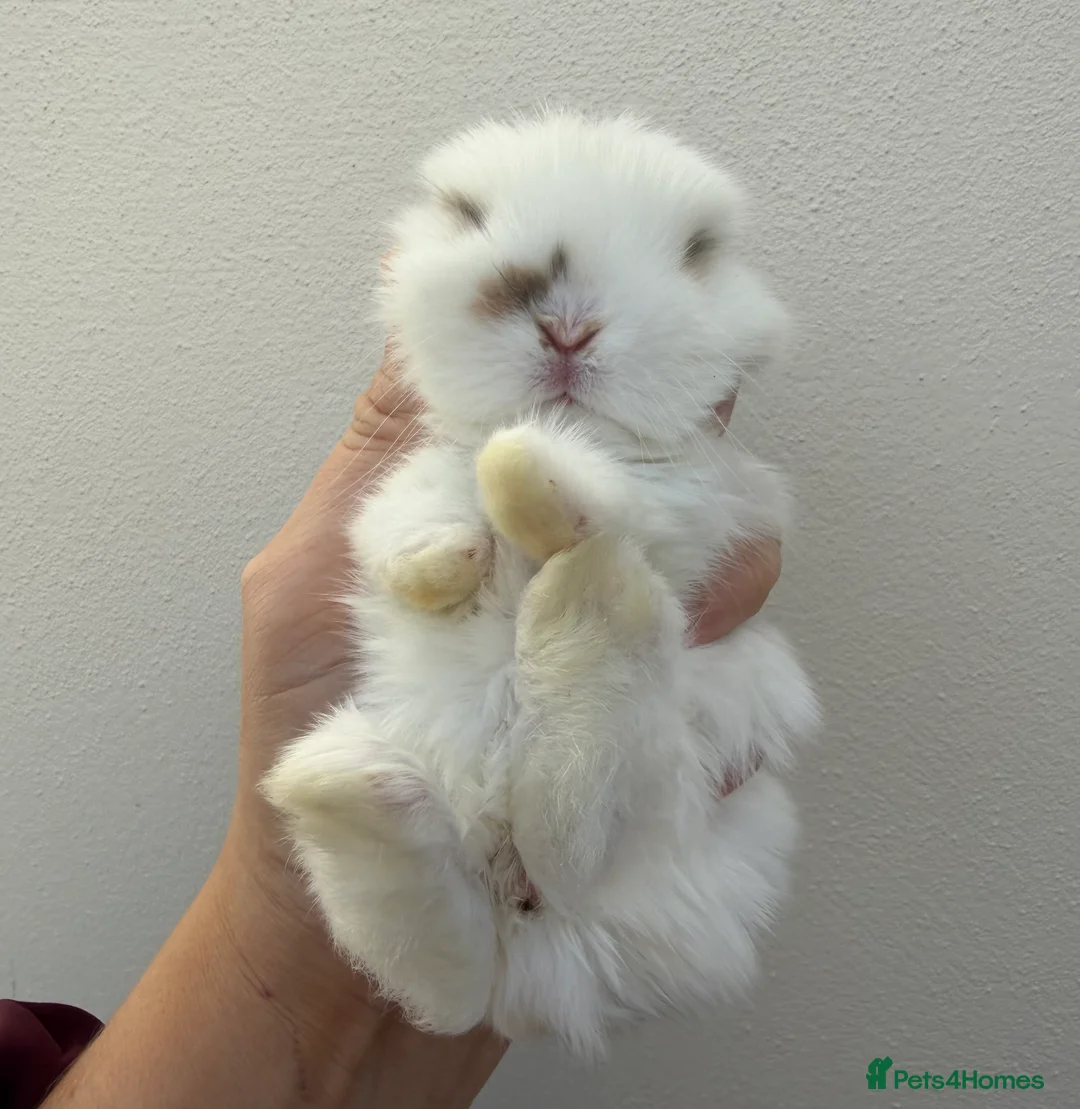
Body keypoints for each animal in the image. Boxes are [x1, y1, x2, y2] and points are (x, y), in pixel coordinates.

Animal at [262, 110, 820, 1058]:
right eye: (467, 213)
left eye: (695, 251)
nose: (565, 327)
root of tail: (537, 974)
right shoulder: (410, 477)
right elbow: (407, 514)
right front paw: (444, 564)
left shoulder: (698, 495)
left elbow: (619, 492)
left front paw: (529, 479)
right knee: (448, 974)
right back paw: (348, 785)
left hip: (680, 765)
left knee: (569, 840)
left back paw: (582, 587)